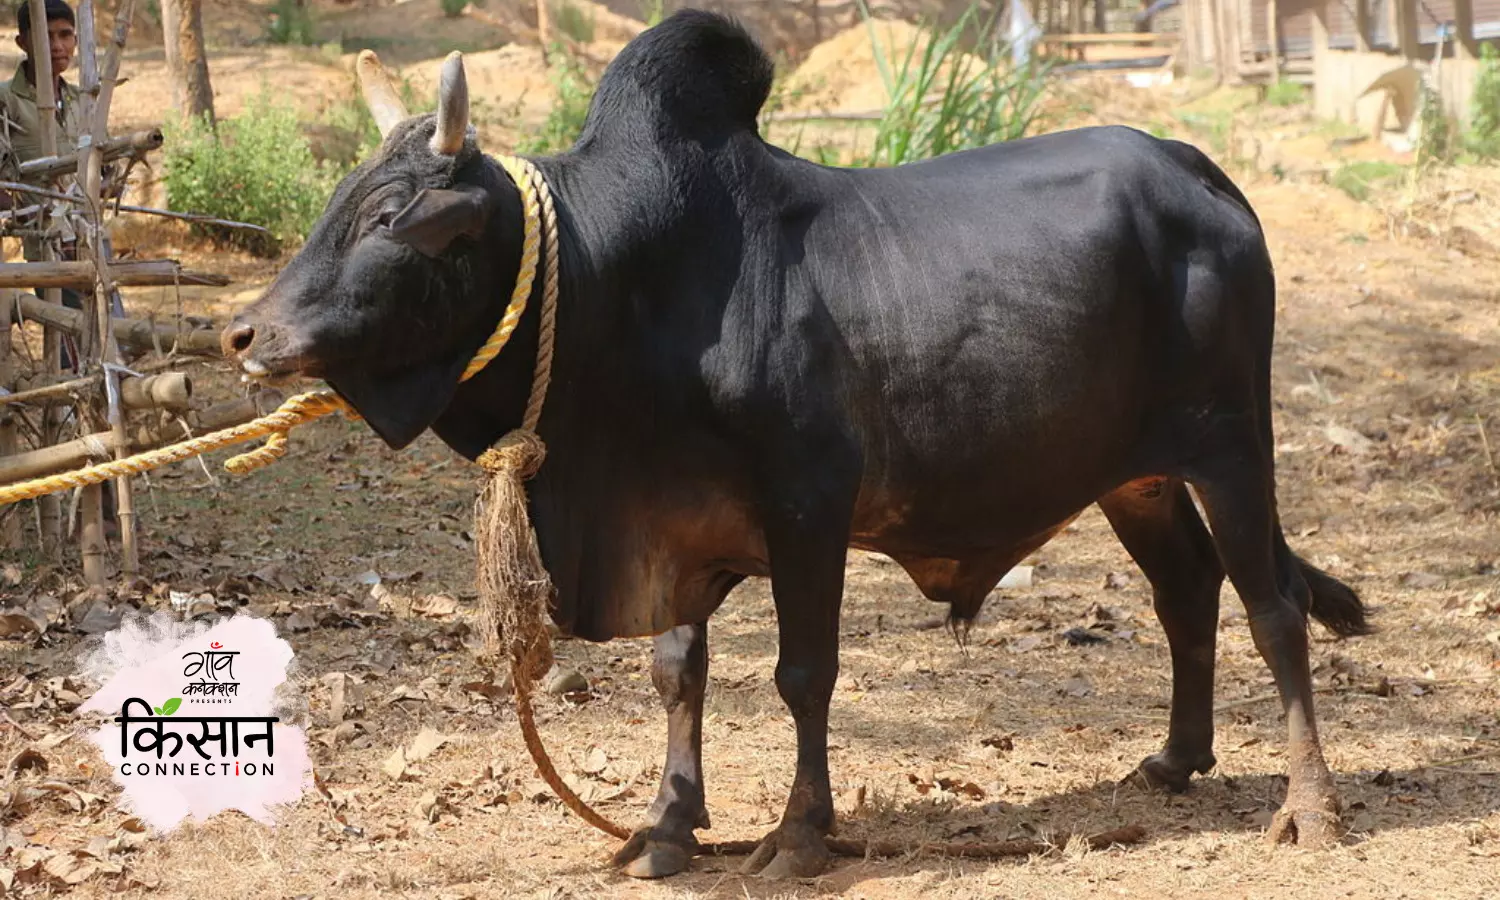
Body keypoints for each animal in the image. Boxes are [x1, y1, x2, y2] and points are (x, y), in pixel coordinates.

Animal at [222, 7, 1374, 876]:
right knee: (1185, 588)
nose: (247, 334)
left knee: (1271, 606)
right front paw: (665, 826)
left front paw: (798, 834)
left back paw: (1310, 808)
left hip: (1231, 443)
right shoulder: (677, 528)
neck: (624, 284)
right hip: (1135, 475)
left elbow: (803, 674)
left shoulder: (808, 504)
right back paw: (1175, 761)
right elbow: (676, 672)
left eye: (387, 216)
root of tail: (1195, 168)